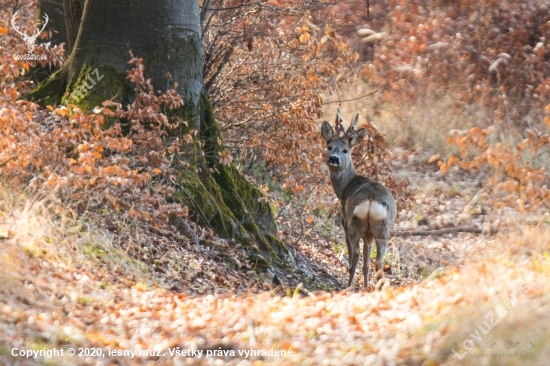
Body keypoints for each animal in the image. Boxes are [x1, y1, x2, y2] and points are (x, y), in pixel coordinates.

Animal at [322, 110, 398, 290]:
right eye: (329, 147)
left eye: (345, 150)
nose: (334, 158)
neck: (345, 186)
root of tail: (370, 200)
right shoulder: (368, 235)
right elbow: (366, 263)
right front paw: (365, 286)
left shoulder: (344, 221)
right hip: (382, 228)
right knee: (378, 261)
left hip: (354, 222)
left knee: (355, 254)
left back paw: (349, 287)